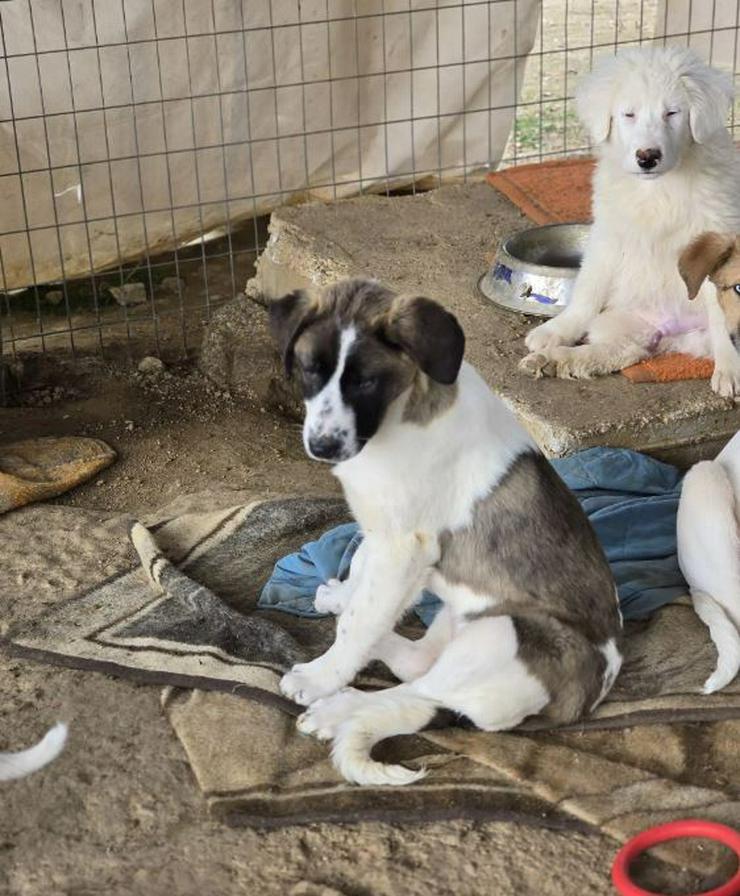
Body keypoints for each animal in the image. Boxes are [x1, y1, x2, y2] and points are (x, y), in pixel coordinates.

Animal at [268, 278, 620, 784]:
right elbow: (362, 582)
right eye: (310, 370)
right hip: (456, 619)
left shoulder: (403, 546)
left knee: (417, 696)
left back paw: (332, 712)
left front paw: (320, 677)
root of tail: (585, 700)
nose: (323, 446)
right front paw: (344, 598)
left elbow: (360, 622)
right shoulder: (381, 532)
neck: (399, 414)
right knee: (417, 668)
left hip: (502, 635)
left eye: (366, 382)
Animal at [520, 47, 740, 398]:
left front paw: (730, 369)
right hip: (625, 321)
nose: (647, 157)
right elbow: (588, 288)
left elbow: (723, 312)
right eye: (629, 115)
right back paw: (552, 359)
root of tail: (675, 335)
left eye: (672, 113)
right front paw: (558, 328)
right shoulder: (608, 235)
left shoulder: (719, 236)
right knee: (619, 351)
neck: (657, 188)